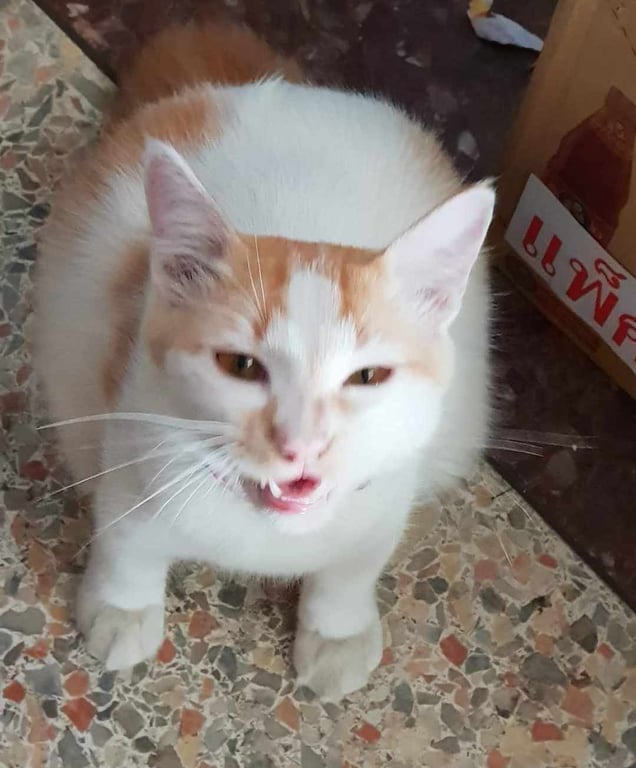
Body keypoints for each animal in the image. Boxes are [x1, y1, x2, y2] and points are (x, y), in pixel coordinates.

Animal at [34, 21, 494, 701]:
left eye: (368, 377)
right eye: (242, 366)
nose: (301, 443)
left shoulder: (390, 485)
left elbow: (353, 567)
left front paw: (337, 630)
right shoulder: (131, 425)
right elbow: (126, 535)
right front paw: (124, 607)